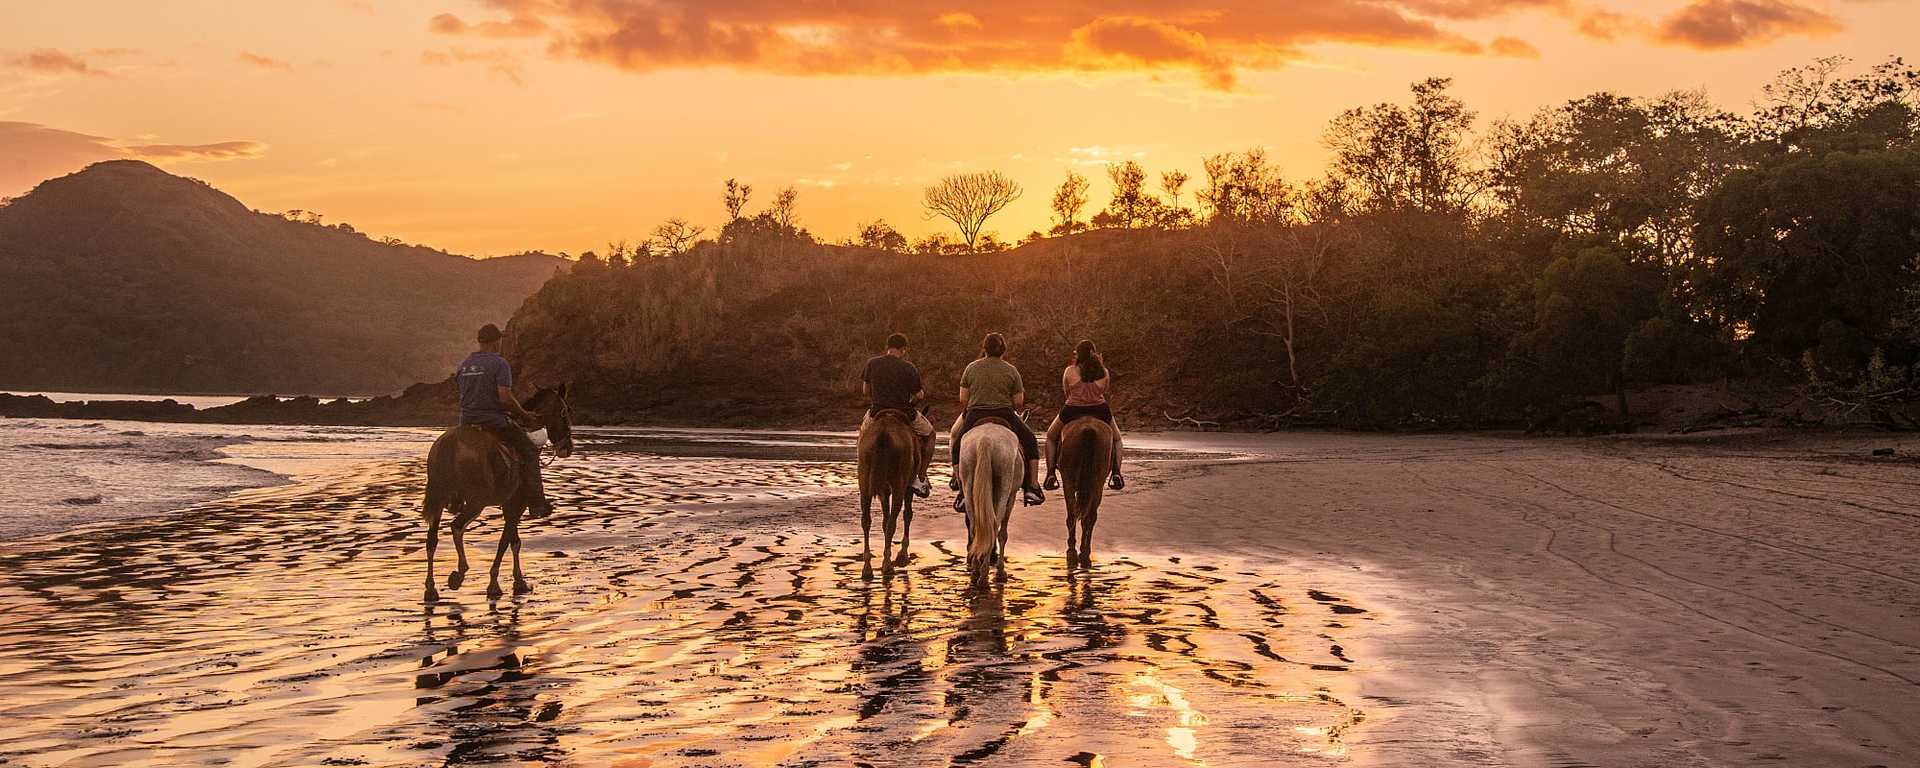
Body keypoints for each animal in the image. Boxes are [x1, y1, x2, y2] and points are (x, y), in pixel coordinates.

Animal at [420, 380, 568, 602]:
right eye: (565, 412)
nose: (567, 447)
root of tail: (451, 444)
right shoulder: (516, 504)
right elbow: (507, 541)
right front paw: (496, 584)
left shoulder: (509, 505)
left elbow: (513, 541)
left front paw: (518, 581)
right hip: (477, 501)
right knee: (457, 526)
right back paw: (459, 573)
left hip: (439, 499)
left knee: (432, 540)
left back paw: (431, 588)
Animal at [860, 407, 917, 576]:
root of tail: (883, 433)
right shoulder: (907, 487)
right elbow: (907, 515)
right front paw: (903, 555)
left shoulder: (884, 491)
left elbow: (884, 521)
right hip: (899, 485)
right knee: (893, 522)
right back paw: (887, 565)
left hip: (864, 483)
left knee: (866, 520)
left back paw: (867, 567)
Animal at [956, 414, 1029, 587]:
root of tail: (986, 439)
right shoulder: (1011, 495)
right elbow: (1003, 534)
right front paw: (1000, 572)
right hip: (1004, 487)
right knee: (995, 526)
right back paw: (984, 575)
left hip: (968, 482)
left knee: (975, 526)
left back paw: (976, 572)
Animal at [1059, 416, 1121, 568]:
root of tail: (1089, 430)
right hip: (1097, 484)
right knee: (1089, 516)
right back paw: (1084, 551)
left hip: (1069, 480)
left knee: (1074, 515)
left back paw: (1073, 549)